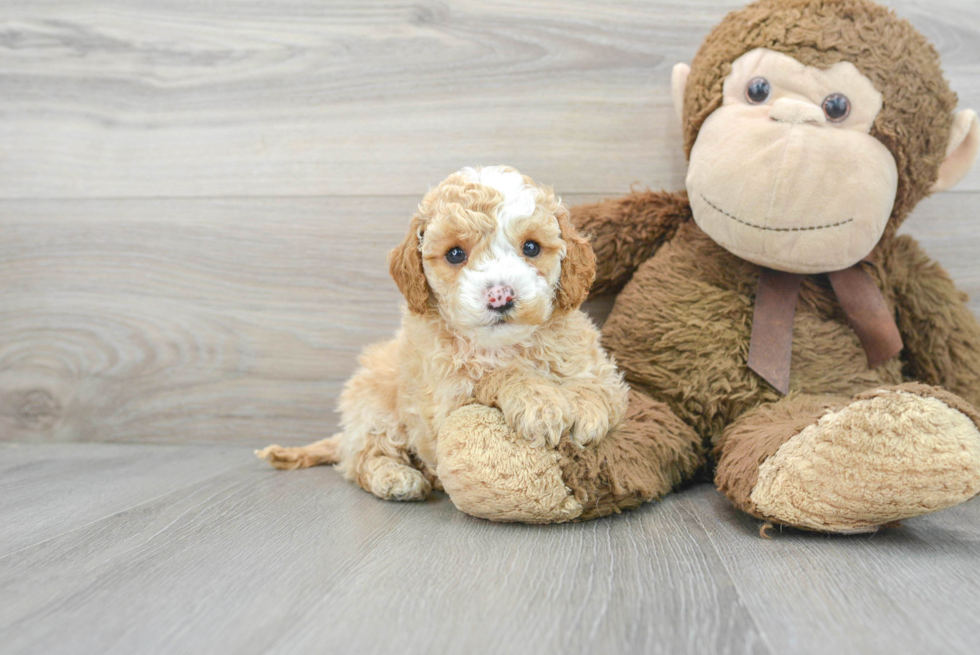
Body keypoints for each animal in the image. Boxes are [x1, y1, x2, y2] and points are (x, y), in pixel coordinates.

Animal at [256, 165, 628, 502]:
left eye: (532, 248)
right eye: (455, 254)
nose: (500, 296)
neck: (504, 347)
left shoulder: (602, 369)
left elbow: (598, 385)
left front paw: (586, 408)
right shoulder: (444, 406)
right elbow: (499, 376)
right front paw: (540, 402)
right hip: (375, 406)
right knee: (361, 459)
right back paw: (396, 478)